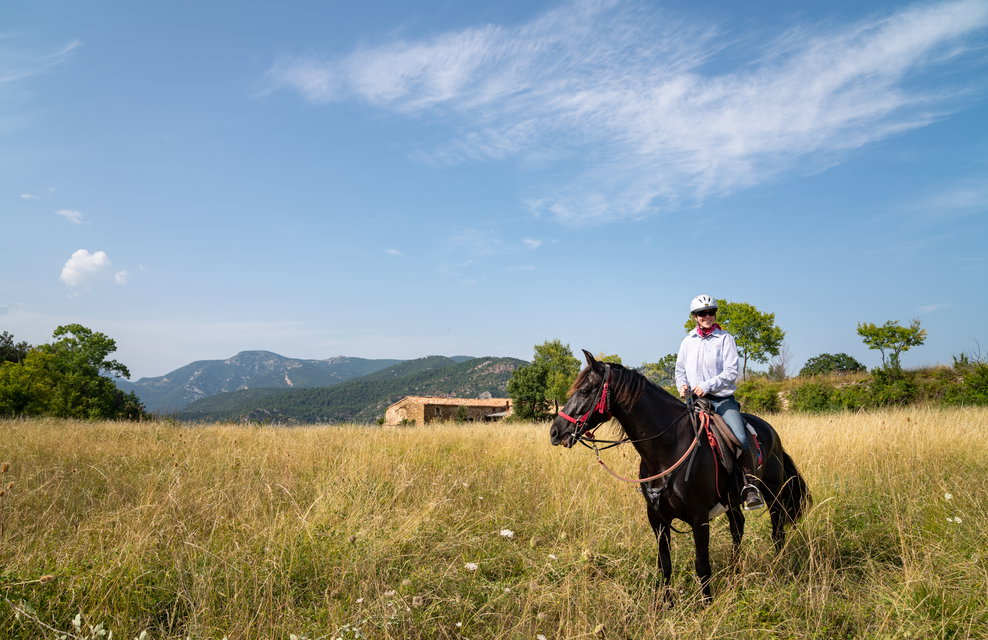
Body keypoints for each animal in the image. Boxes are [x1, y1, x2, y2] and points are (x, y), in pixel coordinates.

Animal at [549, 350, 810, 603]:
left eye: (584, 390)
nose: (555, 431)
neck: (667, 449)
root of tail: (771, 431)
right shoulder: (657, 518)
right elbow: (664, 564)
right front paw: (667, 604)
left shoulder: (699, 518)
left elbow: (702, 565)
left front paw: (706, 604)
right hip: (732, 501)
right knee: (738, 529)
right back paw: (735, 572)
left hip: (773, 494)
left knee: (777, 532)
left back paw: (779, 567)